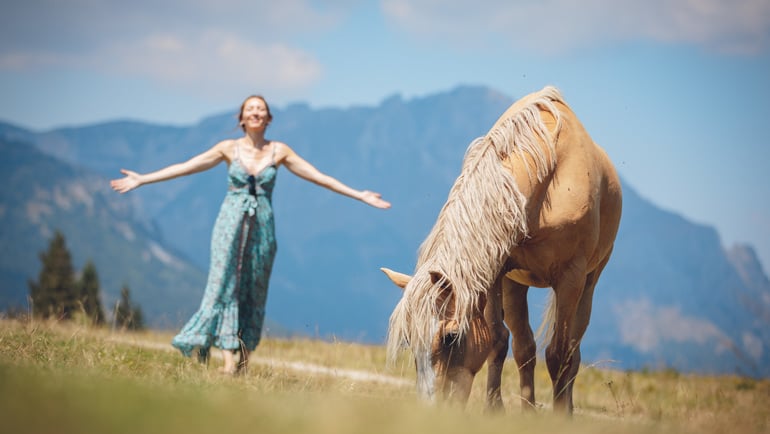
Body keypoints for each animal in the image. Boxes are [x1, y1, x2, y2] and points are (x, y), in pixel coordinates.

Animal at [380, 85, 620, 414]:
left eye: (450, 337)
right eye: (409, 338)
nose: (432, 411)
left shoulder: (571, 277)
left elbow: (559, 355)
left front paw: (560, 416)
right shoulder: (496, 271)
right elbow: (497, 339)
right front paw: (494, 410)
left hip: (589, 281)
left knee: (572, 351)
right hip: (515, 285)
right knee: (524, 347)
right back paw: (527, 410)